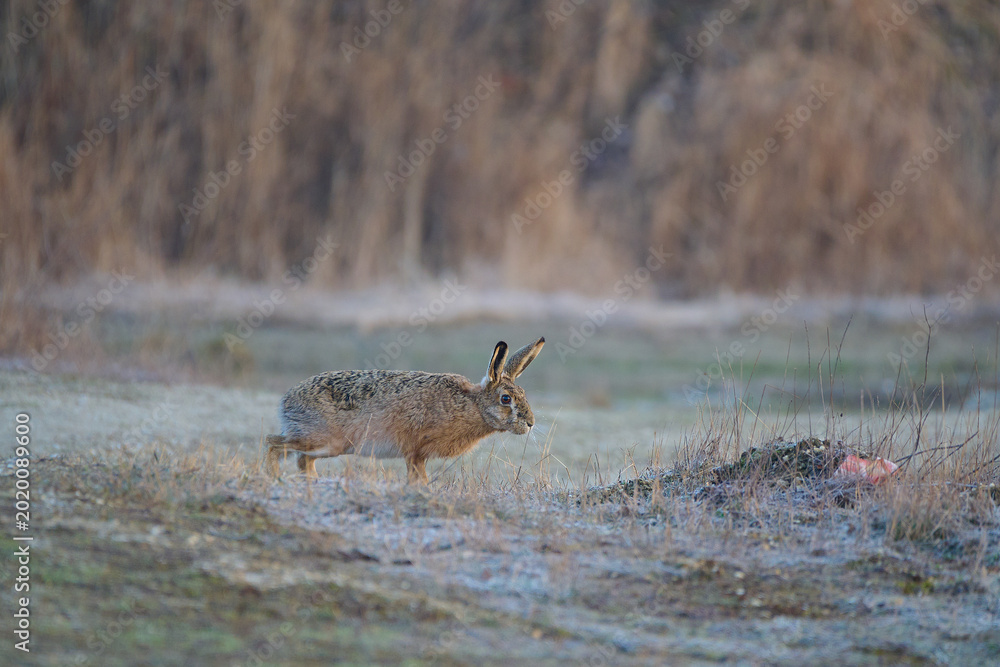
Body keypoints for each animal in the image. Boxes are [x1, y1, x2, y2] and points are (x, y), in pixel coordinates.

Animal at [264, 337, 544, 484]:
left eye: (523, 395)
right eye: (506, 399)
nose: (530, 423)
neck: (472, 404)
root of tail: (286, 401)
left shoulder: (417, 454)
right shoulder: (415, 450)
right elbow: (418, 476)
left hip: (326, 447)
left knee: (302, 459)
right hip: (323, 440)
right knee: (273, 443)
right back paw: (274, 476)